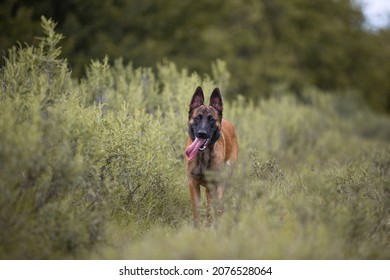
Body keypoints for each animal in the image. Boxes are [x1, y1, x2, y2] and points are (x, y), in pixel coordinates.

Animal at [185, 86, 238, 226]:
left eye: (212, 120)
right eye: (197, 118)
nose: (202, 133)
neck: (203, 157)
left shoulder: (218, 185)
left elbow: (217, 209)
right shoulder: (193, 184)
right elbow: (197, 211)